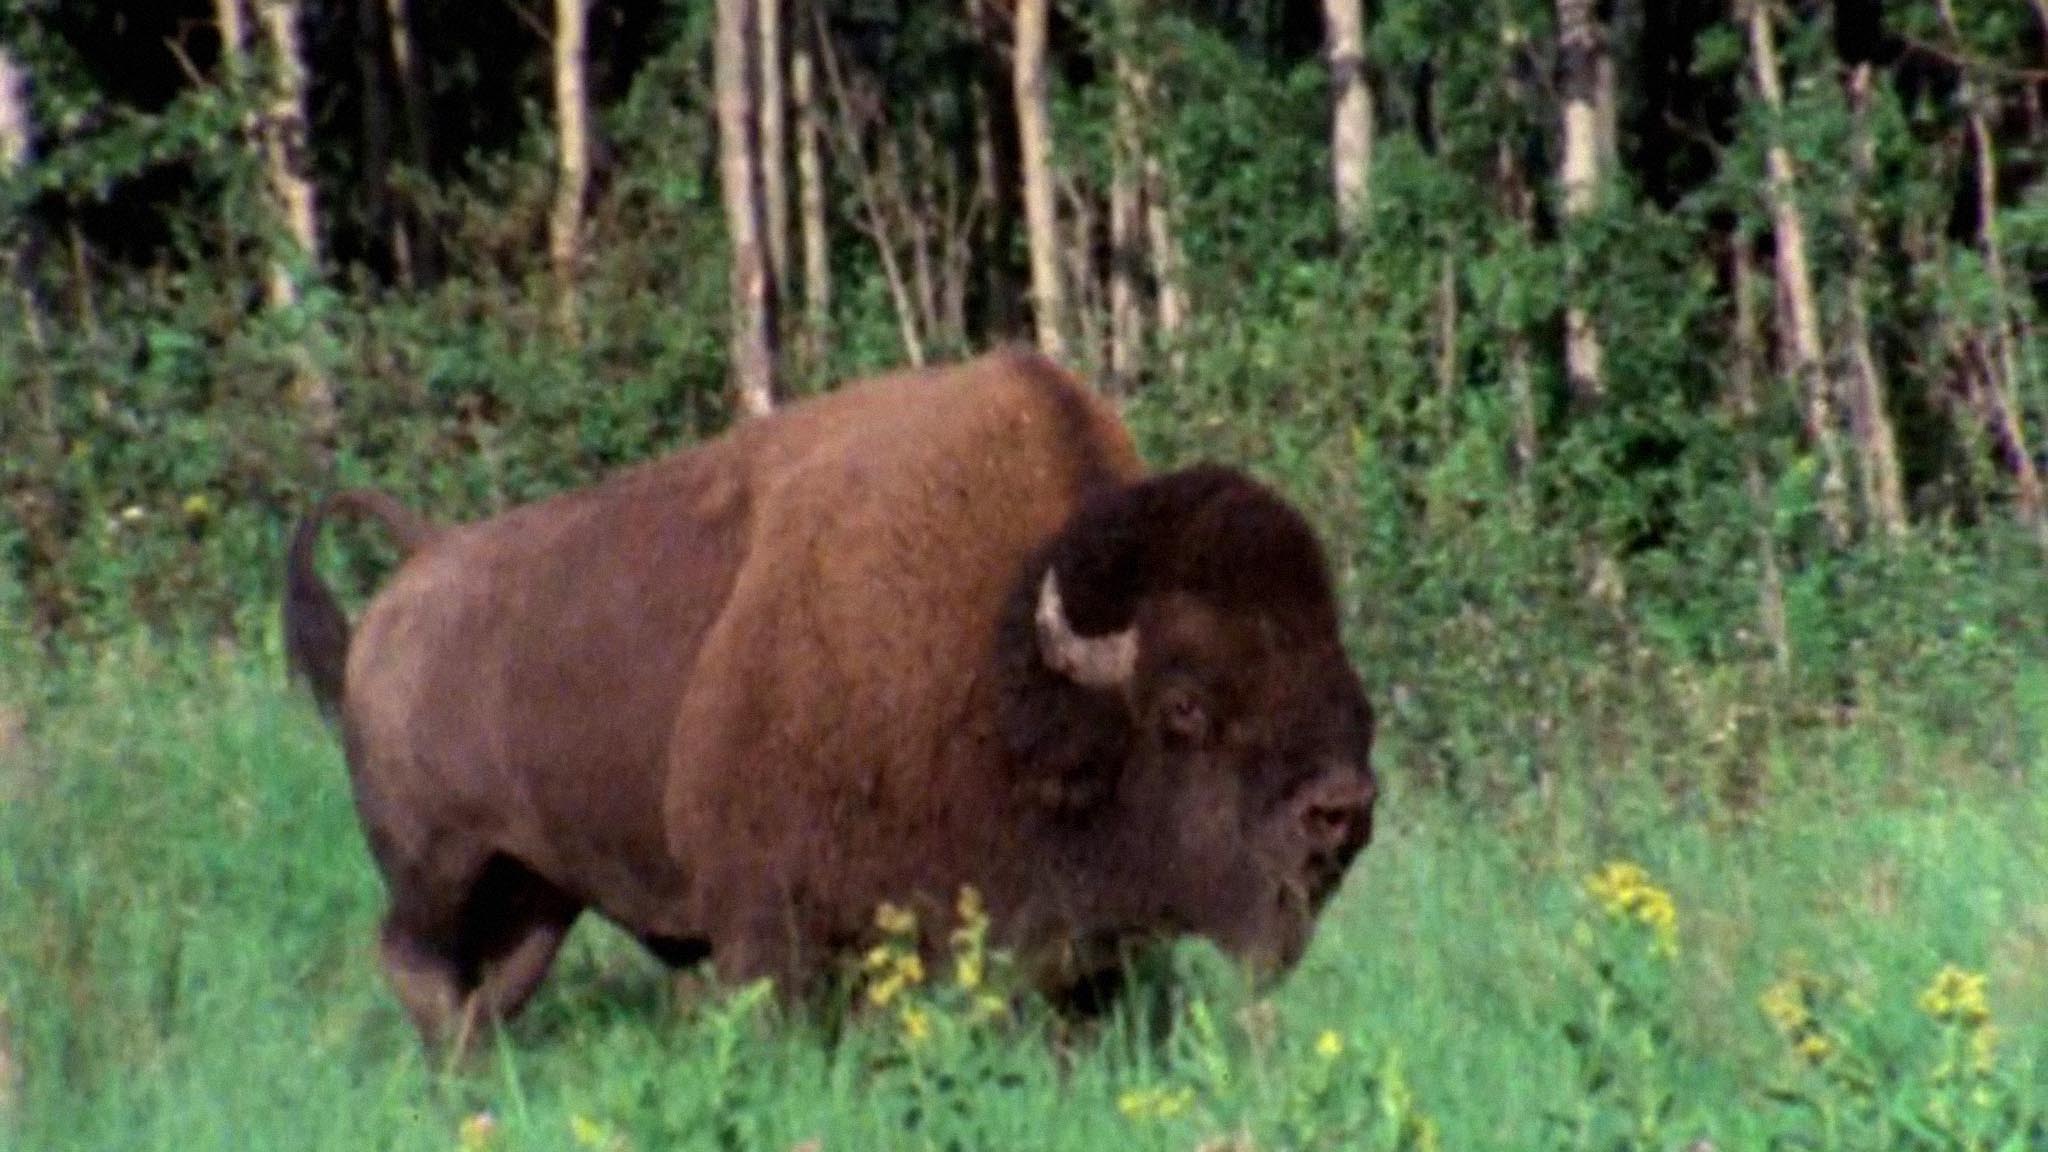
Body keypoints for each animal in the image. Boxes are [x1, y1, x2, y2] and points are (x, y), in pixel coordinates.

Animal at [285, 347, 1377, 1050]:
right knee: (413, 963)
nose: (1341, 810)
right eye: (1185, 706)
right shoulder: (768, 929)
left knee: (491, 987)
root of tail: (415, 570)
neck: (1001, 660)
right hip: (439, 867)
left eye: (1344, 684)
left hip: (535, 893)